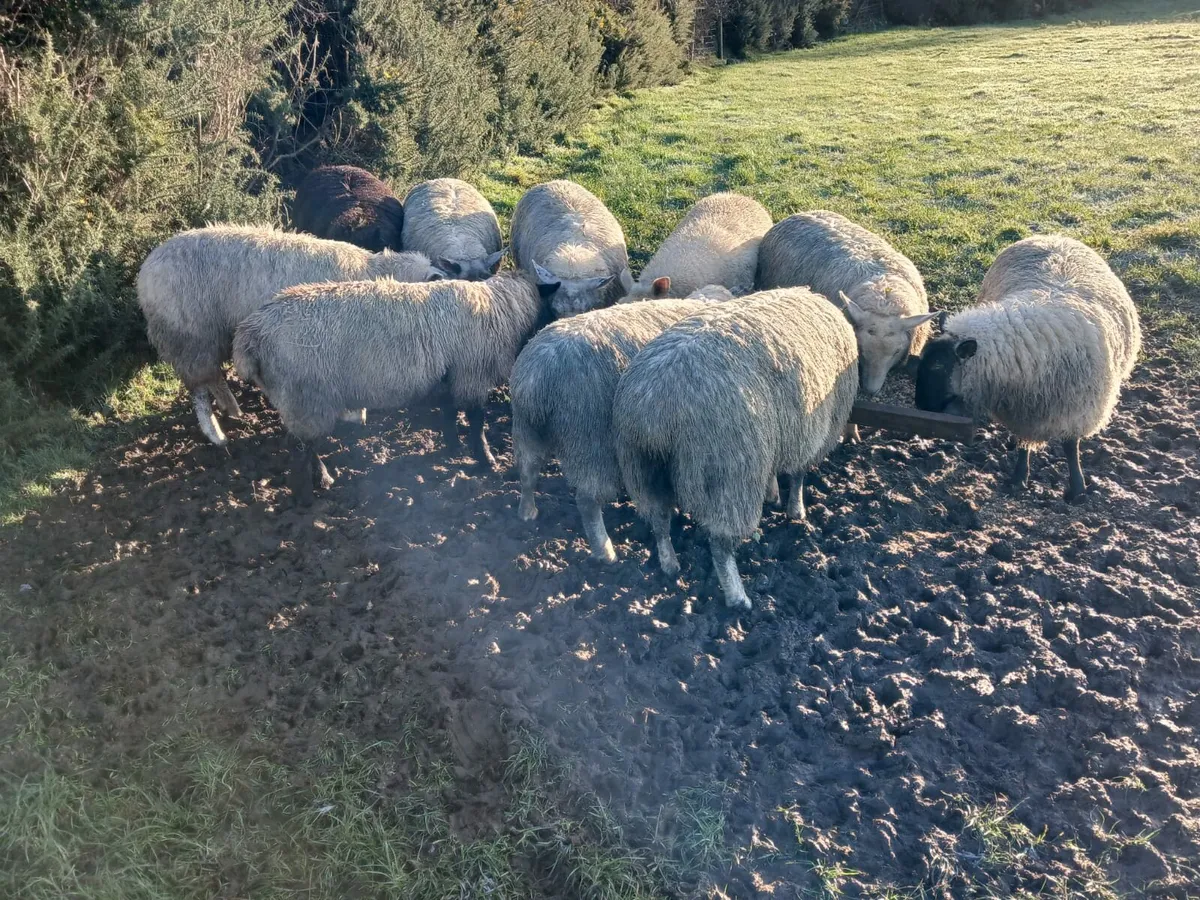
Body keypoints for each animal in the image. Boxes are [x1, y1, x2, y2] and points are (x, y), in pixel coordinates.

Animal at [137, 224, 443, 447]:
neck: (374, 273)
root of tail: (145, 273)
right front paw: (355, 414)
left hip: (208, 338)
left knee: (214, 378)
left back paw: (232, 409)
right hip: (189, 337)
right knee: (199, 389)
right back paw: (216, 434)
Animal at [232, 272, 552, 501]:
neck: (501, 309)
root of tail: (250, 334)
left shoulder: (450, 377)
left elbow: (449, 414)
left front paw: (452, 447)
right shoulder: (470, 375)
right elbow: (477, 421)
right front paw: (486, 460)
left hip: (301, 401)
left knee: (303, 444)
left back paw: (321, 479)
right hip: (305, 397)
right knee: (299, 447)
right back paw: (306, 496)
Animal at [511, 289, 730, 562]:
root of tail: (541, 373)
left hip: (526, 429)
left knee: (527, 472)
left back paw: (526, 512)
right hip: (588, 439)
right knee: (587, 499)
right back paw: (605, 552)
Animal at [612, 287, 859, 609]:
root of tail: (658, 407)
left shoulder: (774, 436)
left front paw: (773, 494)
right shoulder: (811, 432)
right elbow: (798, 475)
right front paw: (796, 510)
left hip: (642, 467)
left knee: (660, 520)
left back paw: (670, 565)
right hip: (728, 474)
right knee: (720, 545)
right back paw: (738, 598)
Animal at [915, 234, 1141, 503]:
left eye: (939, 366)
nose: (921, 407)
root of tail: (1053, 236)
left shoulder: (1076, 408)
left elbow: (1070, 446)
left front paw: (1077, 487)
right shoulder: (1023, 410)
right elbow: (1024, 443)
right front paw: (1019, 477)